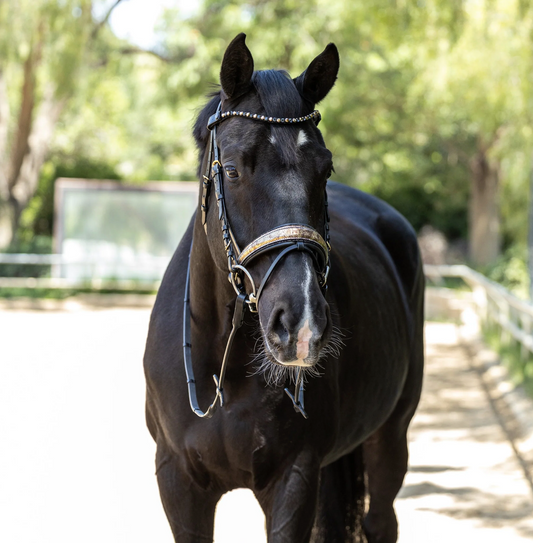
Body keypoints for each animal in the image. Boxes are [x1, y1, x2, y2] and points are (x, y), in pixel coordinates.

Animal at [143, 34, 422, 543]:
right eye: (233, 170)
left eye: (326, 169)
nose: (302, 323)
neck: (225, 368)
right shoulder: (178, 481)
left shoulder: (294, 477)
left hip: (392, 433)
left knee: (381, 520)